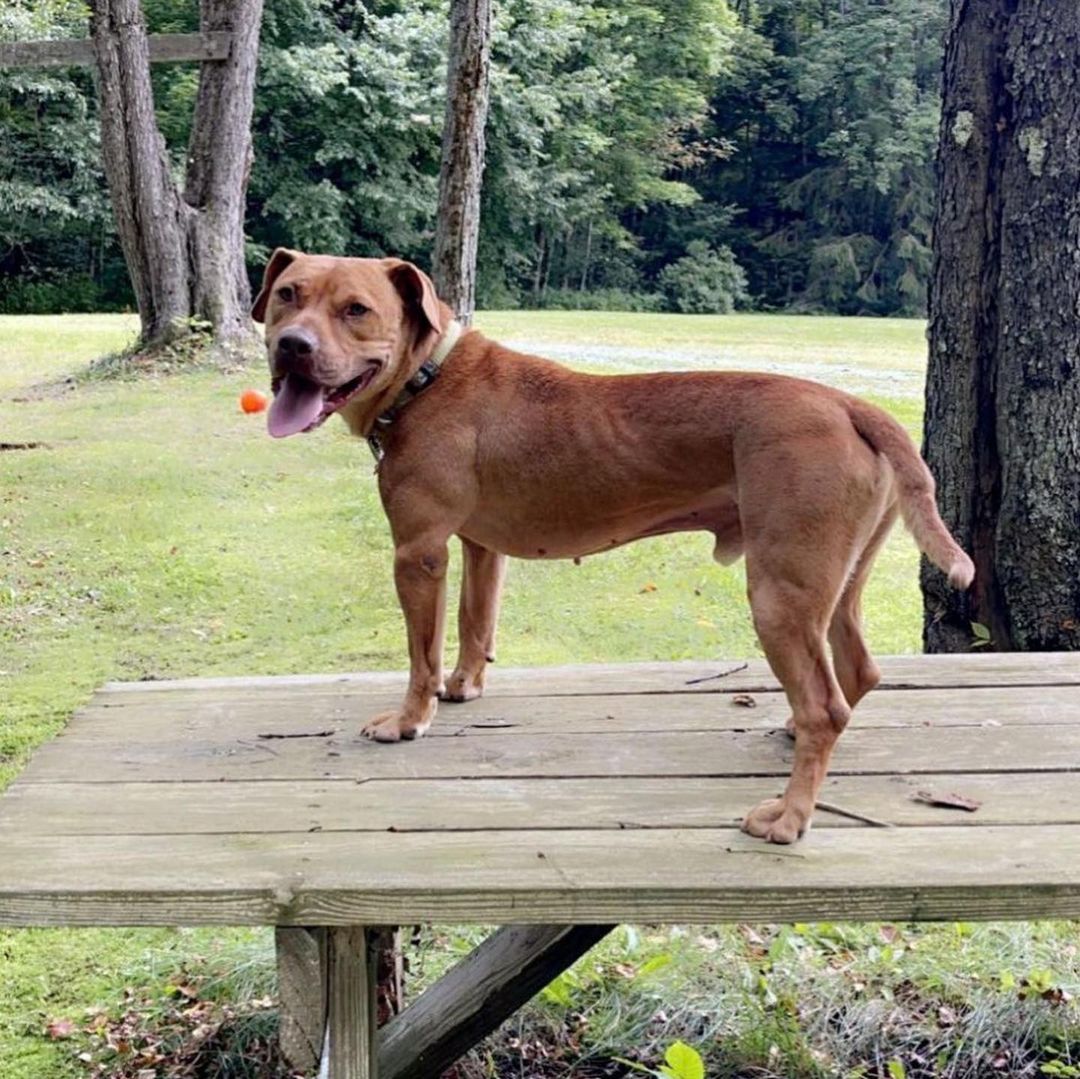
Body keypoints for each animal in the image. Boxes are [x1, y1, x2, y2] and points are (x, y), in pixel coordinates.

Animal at [254, 250, 980, 842]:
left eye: (356, 309)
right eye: (288, 293)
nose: (292, 345)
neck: (427, 376)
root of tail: (851, 405)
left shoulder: (419, 551)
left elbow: (419, 653)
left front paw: (410, 718)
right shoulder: (481, 546)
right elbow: (473, 623)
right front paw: (464, 687)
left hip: (782, 593)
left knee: (826, 705)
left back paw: (788, 817)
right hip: (837, 583)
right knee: (855, 674)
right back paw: (792, 733)